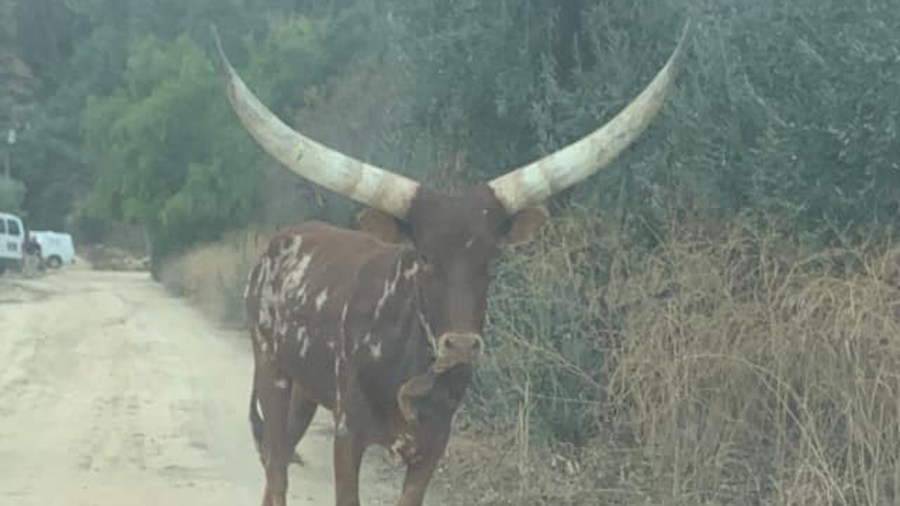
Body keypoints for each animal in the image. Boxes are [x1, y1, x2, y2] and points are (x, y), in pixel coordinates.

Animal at [214, 21, 692, 506]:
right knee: (276, 468)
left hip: (306, 390)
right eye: (424, 257)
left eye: (493, 258)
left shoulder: (433, 444)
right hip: (271, 368)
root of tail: (281, 241)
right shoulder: (348, 434)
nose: (460, 346)